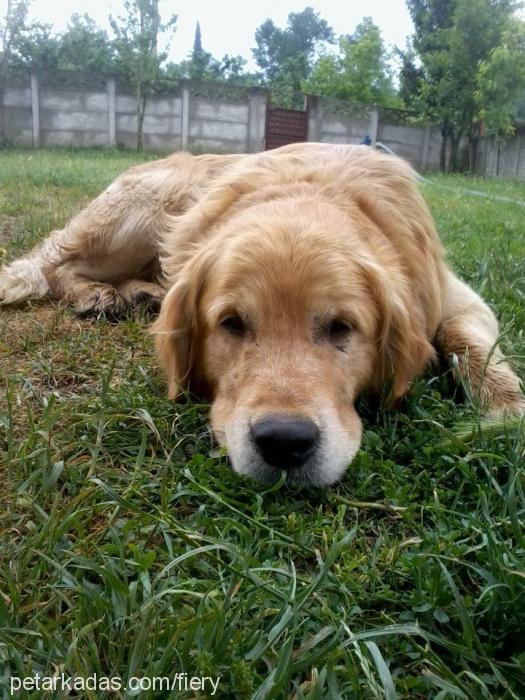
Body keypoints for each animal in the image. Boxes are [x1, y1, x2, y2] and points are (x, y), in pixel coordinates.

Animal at [2, 146, 520, 486]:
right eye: (231, 323)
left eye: (342, 327)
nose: (285, 442)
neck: (311, 193)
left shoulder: (451, 295)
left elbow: (468, 342)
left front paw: (506, 411)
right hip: (138, 216)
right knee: (55, 264)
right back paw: (95, 294)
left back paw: (141, 294)